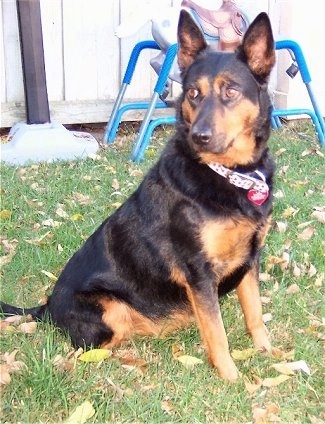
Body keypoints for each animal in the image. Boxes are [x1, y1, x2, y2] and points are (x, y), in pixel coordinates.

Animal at [0, 9, 274, 380]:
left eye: (230, 91)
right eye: (193, 93)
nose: (199, 136)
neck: (230, 175)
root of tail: (46, 307)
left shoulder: (250, 259)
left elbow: (255, 313)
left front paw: (269, 352)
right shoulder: (199, 271)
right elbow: (217, 333)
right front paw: (232, 377)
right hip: (108, 311)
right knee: (92, 353)